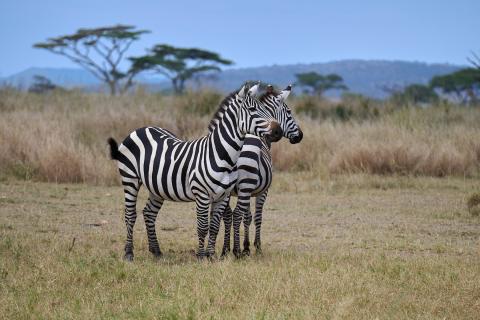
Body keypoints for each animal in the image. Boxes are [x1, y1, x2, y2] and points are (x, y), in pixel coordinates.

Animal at [107, 83, 284, 260]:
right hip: (130, 179)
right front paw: (200, 256)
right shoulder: (202, 195)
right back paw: (129, 253)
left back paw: (156, 251)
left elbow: (214, 226)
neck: (220, 154)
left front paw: (211, 256)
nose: (278, 132)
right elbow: (203, 226)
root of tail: (140, 129)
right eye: (253, 109)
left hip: (156, 187)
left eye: (265, 109)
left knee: (149, 213)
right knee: (130, 215)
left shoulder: (223, 196)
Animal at [218, 85, 302, 258]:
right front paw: (255, 247)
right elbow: (257, 217)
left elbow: (247, 216)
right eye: (289, 111)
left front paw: (245, 246)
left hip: (228, 190)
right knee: (236, 214)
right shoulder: (262, 191)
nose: (300, 136)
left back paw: (225, 250)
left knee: (227, 215)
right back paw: (236, 251)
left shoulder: (247, 190)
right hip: (245, 187)